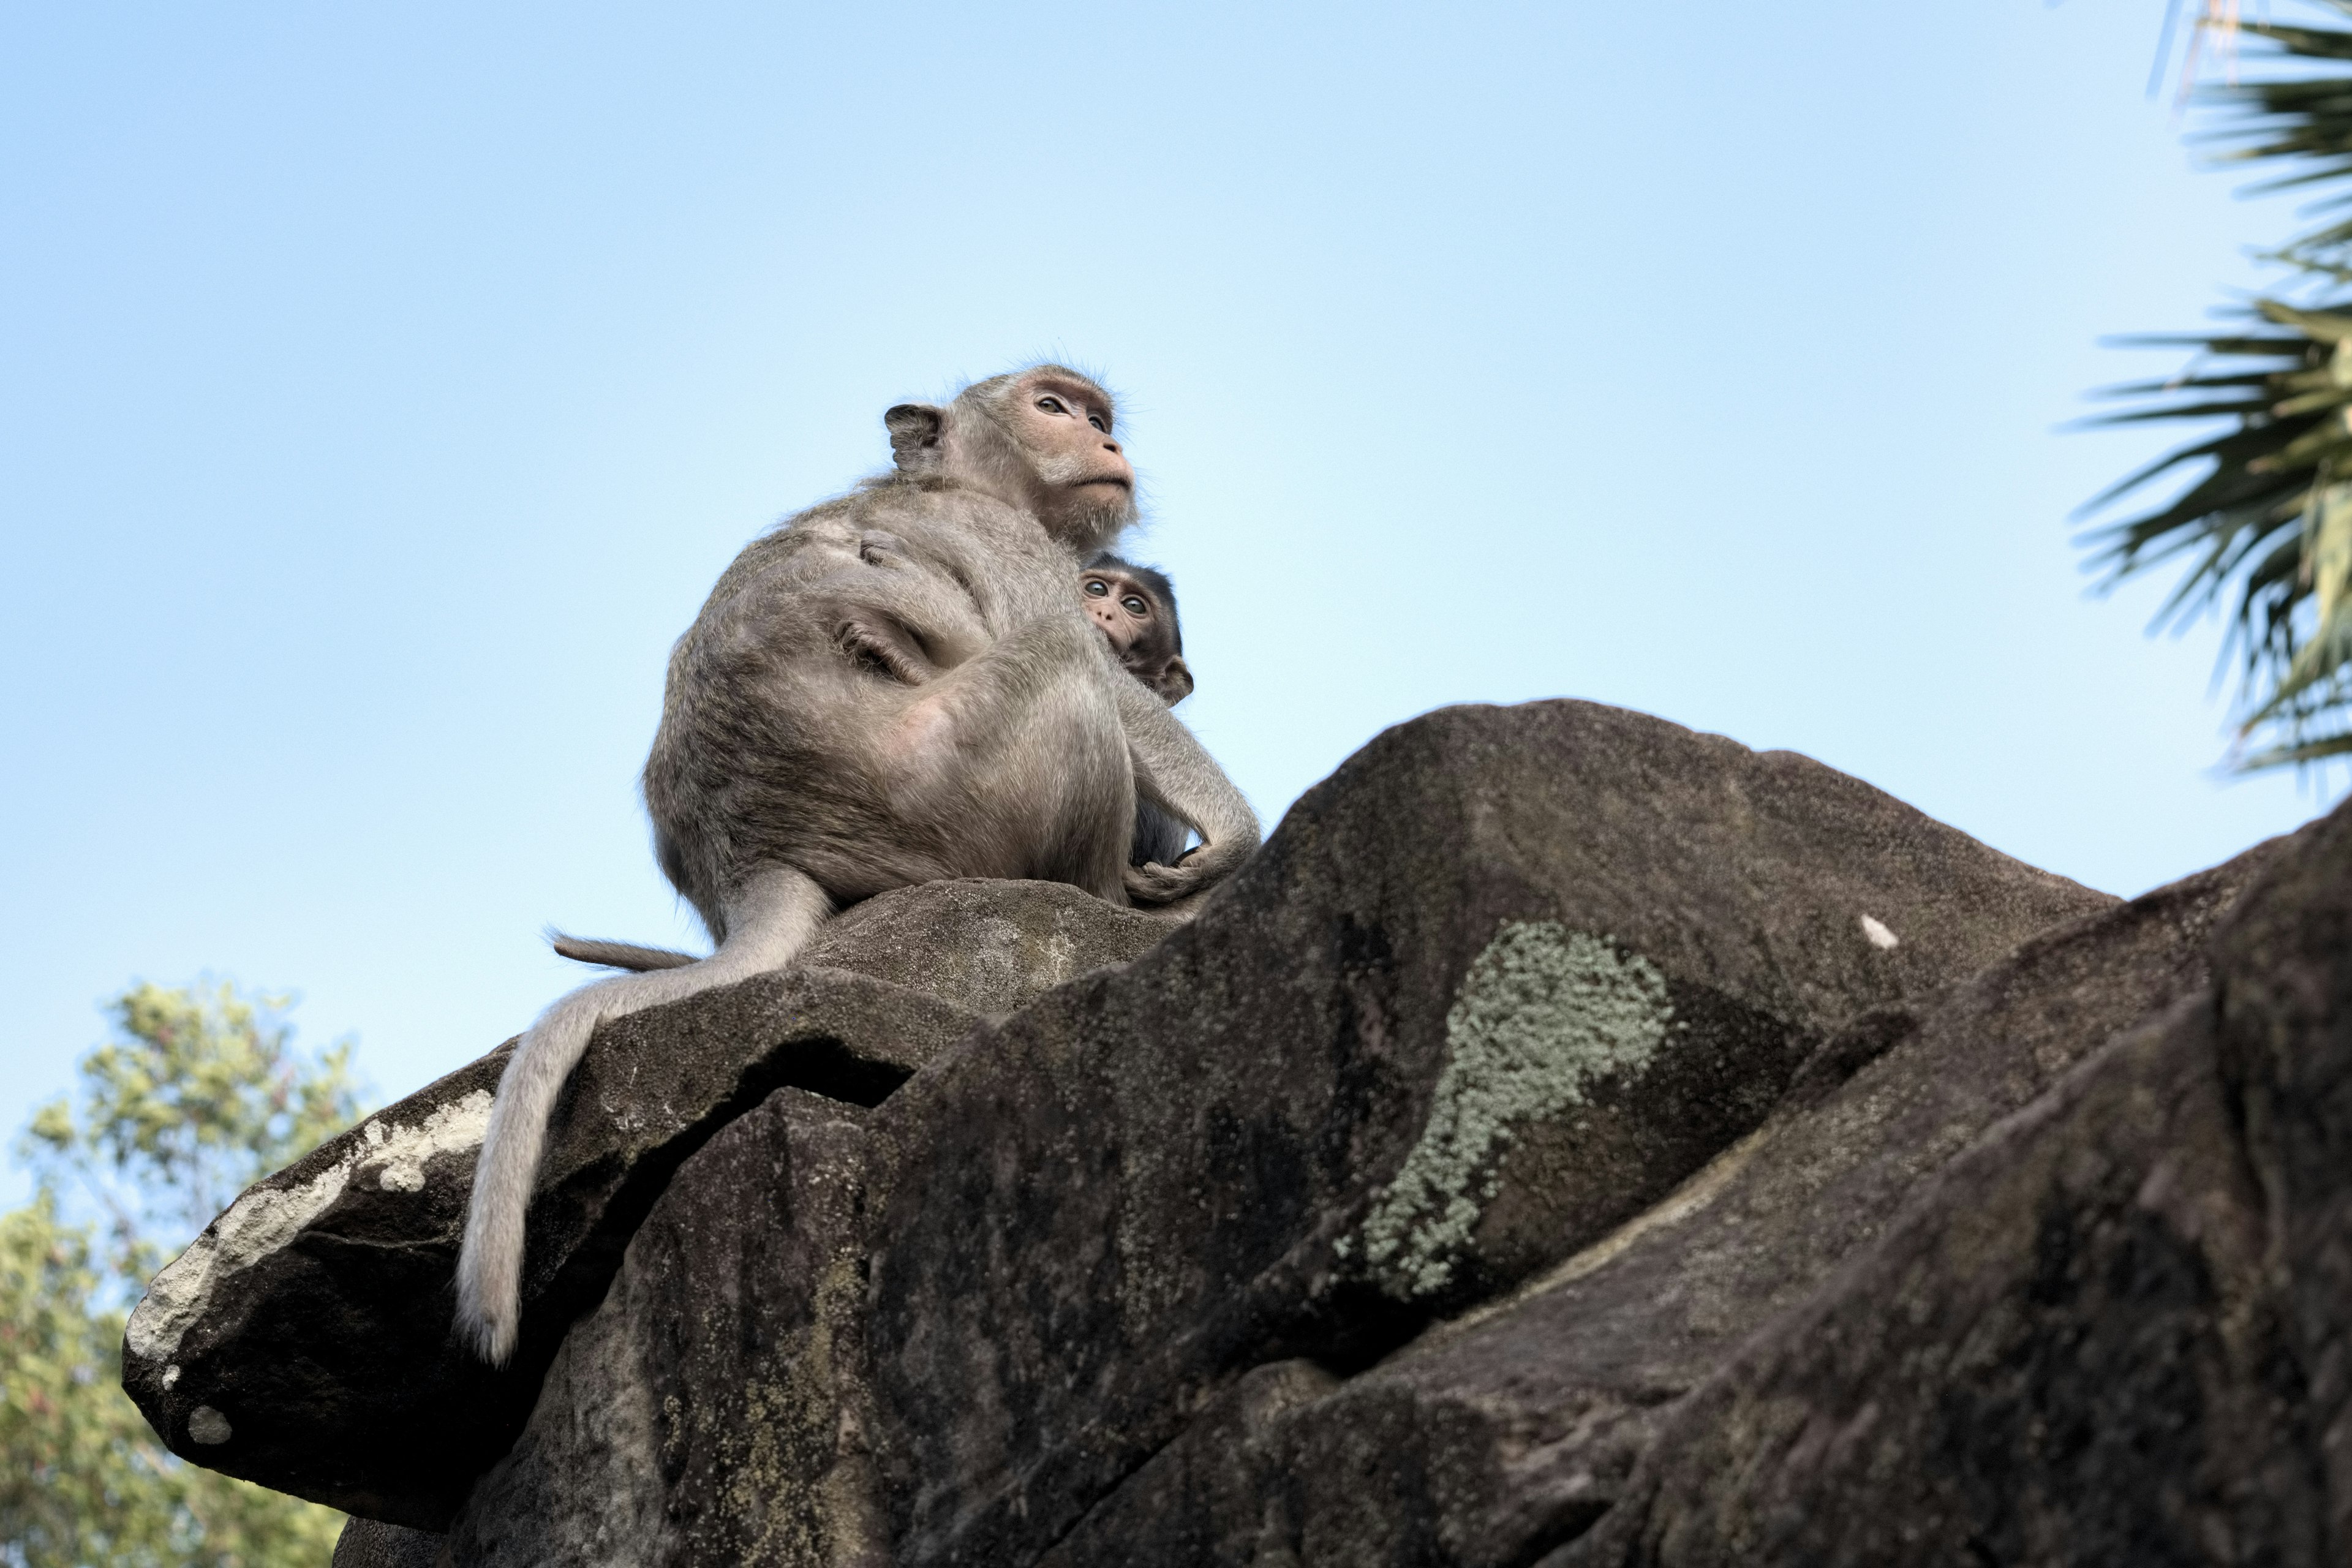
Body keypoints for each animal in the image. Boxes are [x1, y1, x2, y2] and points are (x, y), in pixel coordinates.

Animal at [463, 369, 1270, 1363]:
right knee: (1056, 660)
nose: (1105, 442)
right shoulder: (1005, 540)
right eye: (1053, 407)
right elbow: (1099, 676)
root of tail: (752, 858)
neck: (956, 484)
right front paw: (1234, 834)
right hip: (952, 783)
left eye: (1097, 415)